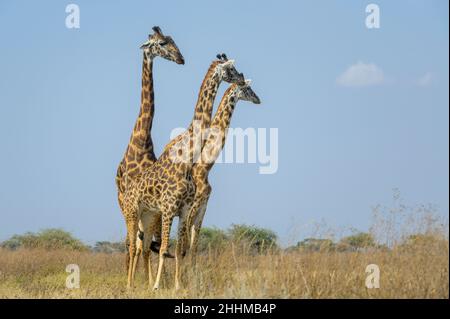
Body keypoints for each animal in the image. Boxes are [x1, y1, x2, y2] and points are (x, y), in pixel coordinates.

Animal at [116, 26, 185, 272]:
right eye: (162, 43)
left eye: (173, 40)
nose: (181, 59)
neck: (141, 139)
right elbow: (137, 245)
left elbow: (148, 246)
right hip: (124, 203)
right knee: (131, 244)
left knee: (143, 244)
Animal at [121, 55, 244, 290]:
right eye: (231, 69)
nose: (242, 80)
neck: (189, 162)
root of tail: (129, 186)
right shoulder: (171, 208)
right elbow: (165, 249)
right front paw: (158, 286)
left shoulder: (186, 209)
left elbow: (179, 249)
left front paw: (178, 285)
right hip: (132, 212)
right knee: (132, 246)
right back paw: (130, 284)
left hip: (148, 215)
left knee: (145, 245)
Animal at [183, 79, 260, 262]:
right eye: (248, 88)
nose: (258, 99)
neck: (204, 169)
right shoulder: (192, 208)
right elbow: (186, 245)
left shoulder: (203, 208)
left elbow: (194, 246)